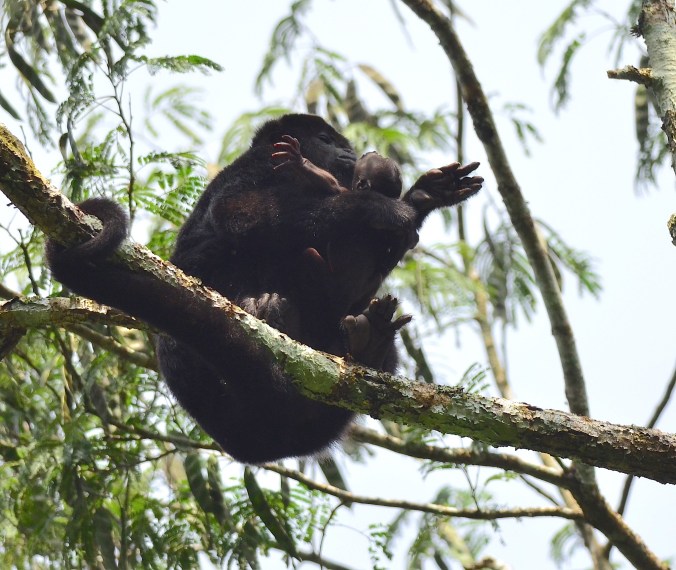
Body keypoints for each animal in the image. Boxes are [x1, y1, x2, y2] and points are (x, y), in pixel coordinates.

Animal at [46, 114, 483, 463]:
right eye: (326, 139)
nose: (348, 152)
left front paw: (425, 196)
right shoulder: (259, 166)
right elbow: (241, 214)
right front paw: (382, 208)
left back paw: (367, 342)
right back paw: (270, 312)